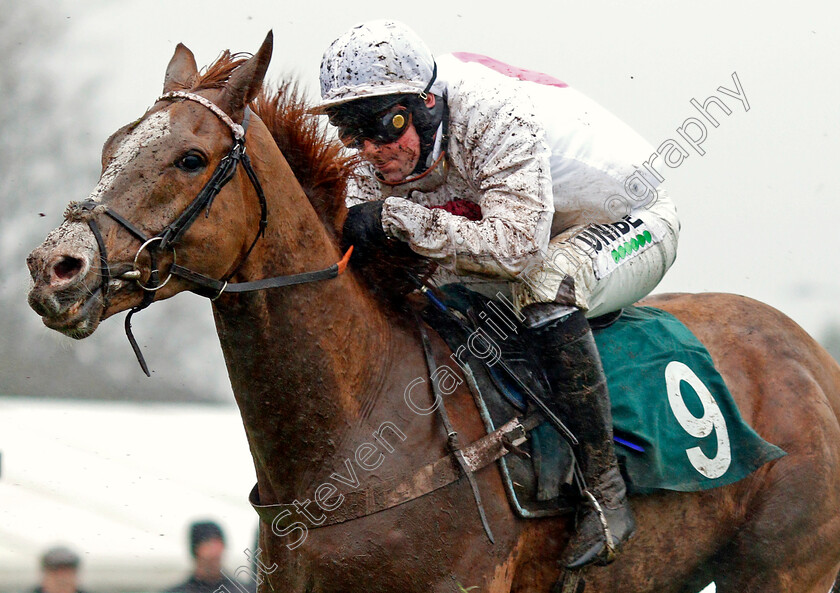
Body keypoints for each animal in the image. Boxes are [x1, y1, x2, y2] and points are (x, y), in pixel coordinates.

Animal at [24, 34, 840, 588]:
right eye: (111, 147)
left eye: (189, 158)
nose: (54, 267)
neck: (360, 432)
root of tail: (812, 356)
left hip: (784, 567)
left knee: (550, 289)